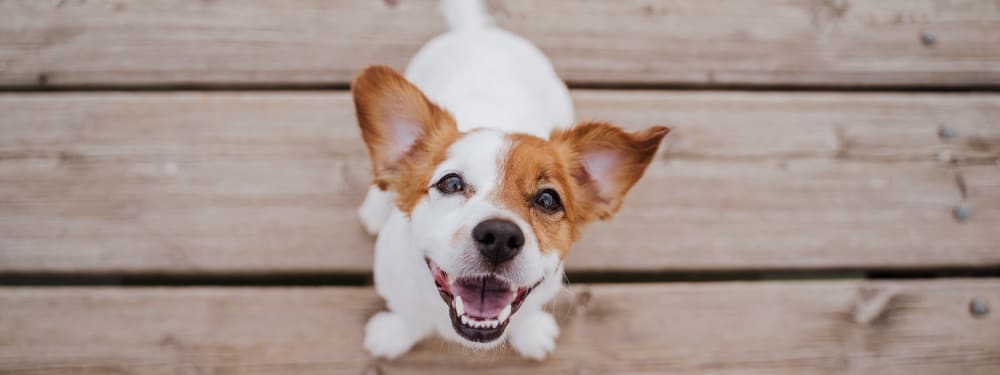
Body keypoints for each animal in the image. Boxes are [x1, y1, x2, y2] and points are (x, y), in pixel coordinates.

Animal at [356, 0, 668, 362]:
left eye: (548, 200)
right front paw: (393, 335)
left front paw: (530, 334)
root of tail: (476, 31)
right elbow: (408, 316)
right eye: (451, 183)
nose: (500, 237)